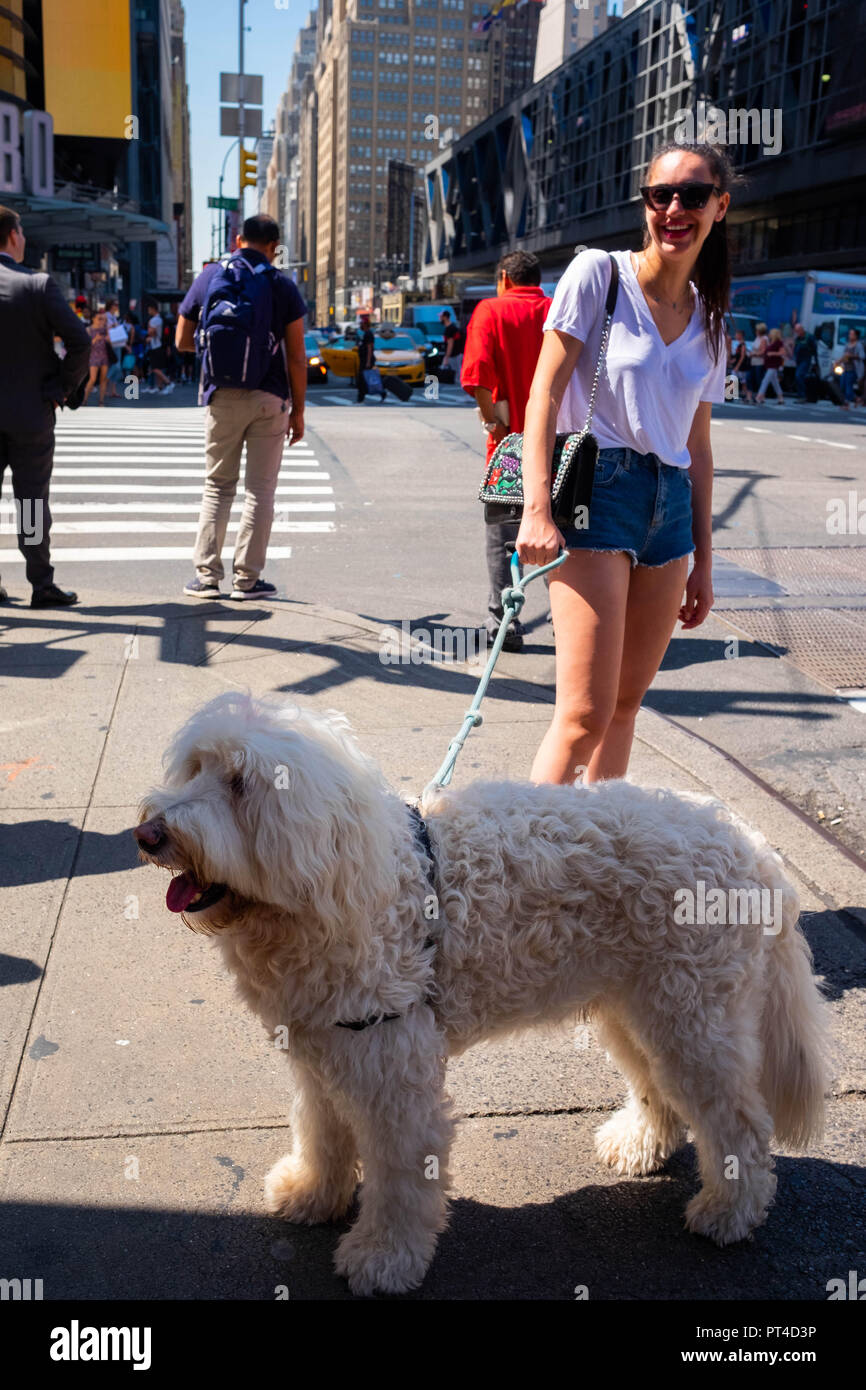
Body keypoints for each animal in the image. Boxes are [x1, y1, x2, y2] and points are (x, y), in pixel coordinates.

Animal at [134, 692, 828, 1289]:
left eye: (240, 783)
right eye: (195, 768)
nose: (148, 834)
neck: (343, 881)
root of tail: (757, 850)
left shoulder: (392, 1066)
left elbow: (400, 1173)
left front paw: (383, 1258)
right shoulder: (323, 1046)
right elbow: (321, 1131)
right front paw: (312, 1194)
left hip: (693, 1015)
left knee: (740, 1123)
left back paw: (729, 1212)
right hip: (636, 1006)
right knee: (658, 1087)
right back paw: (639, 1147)